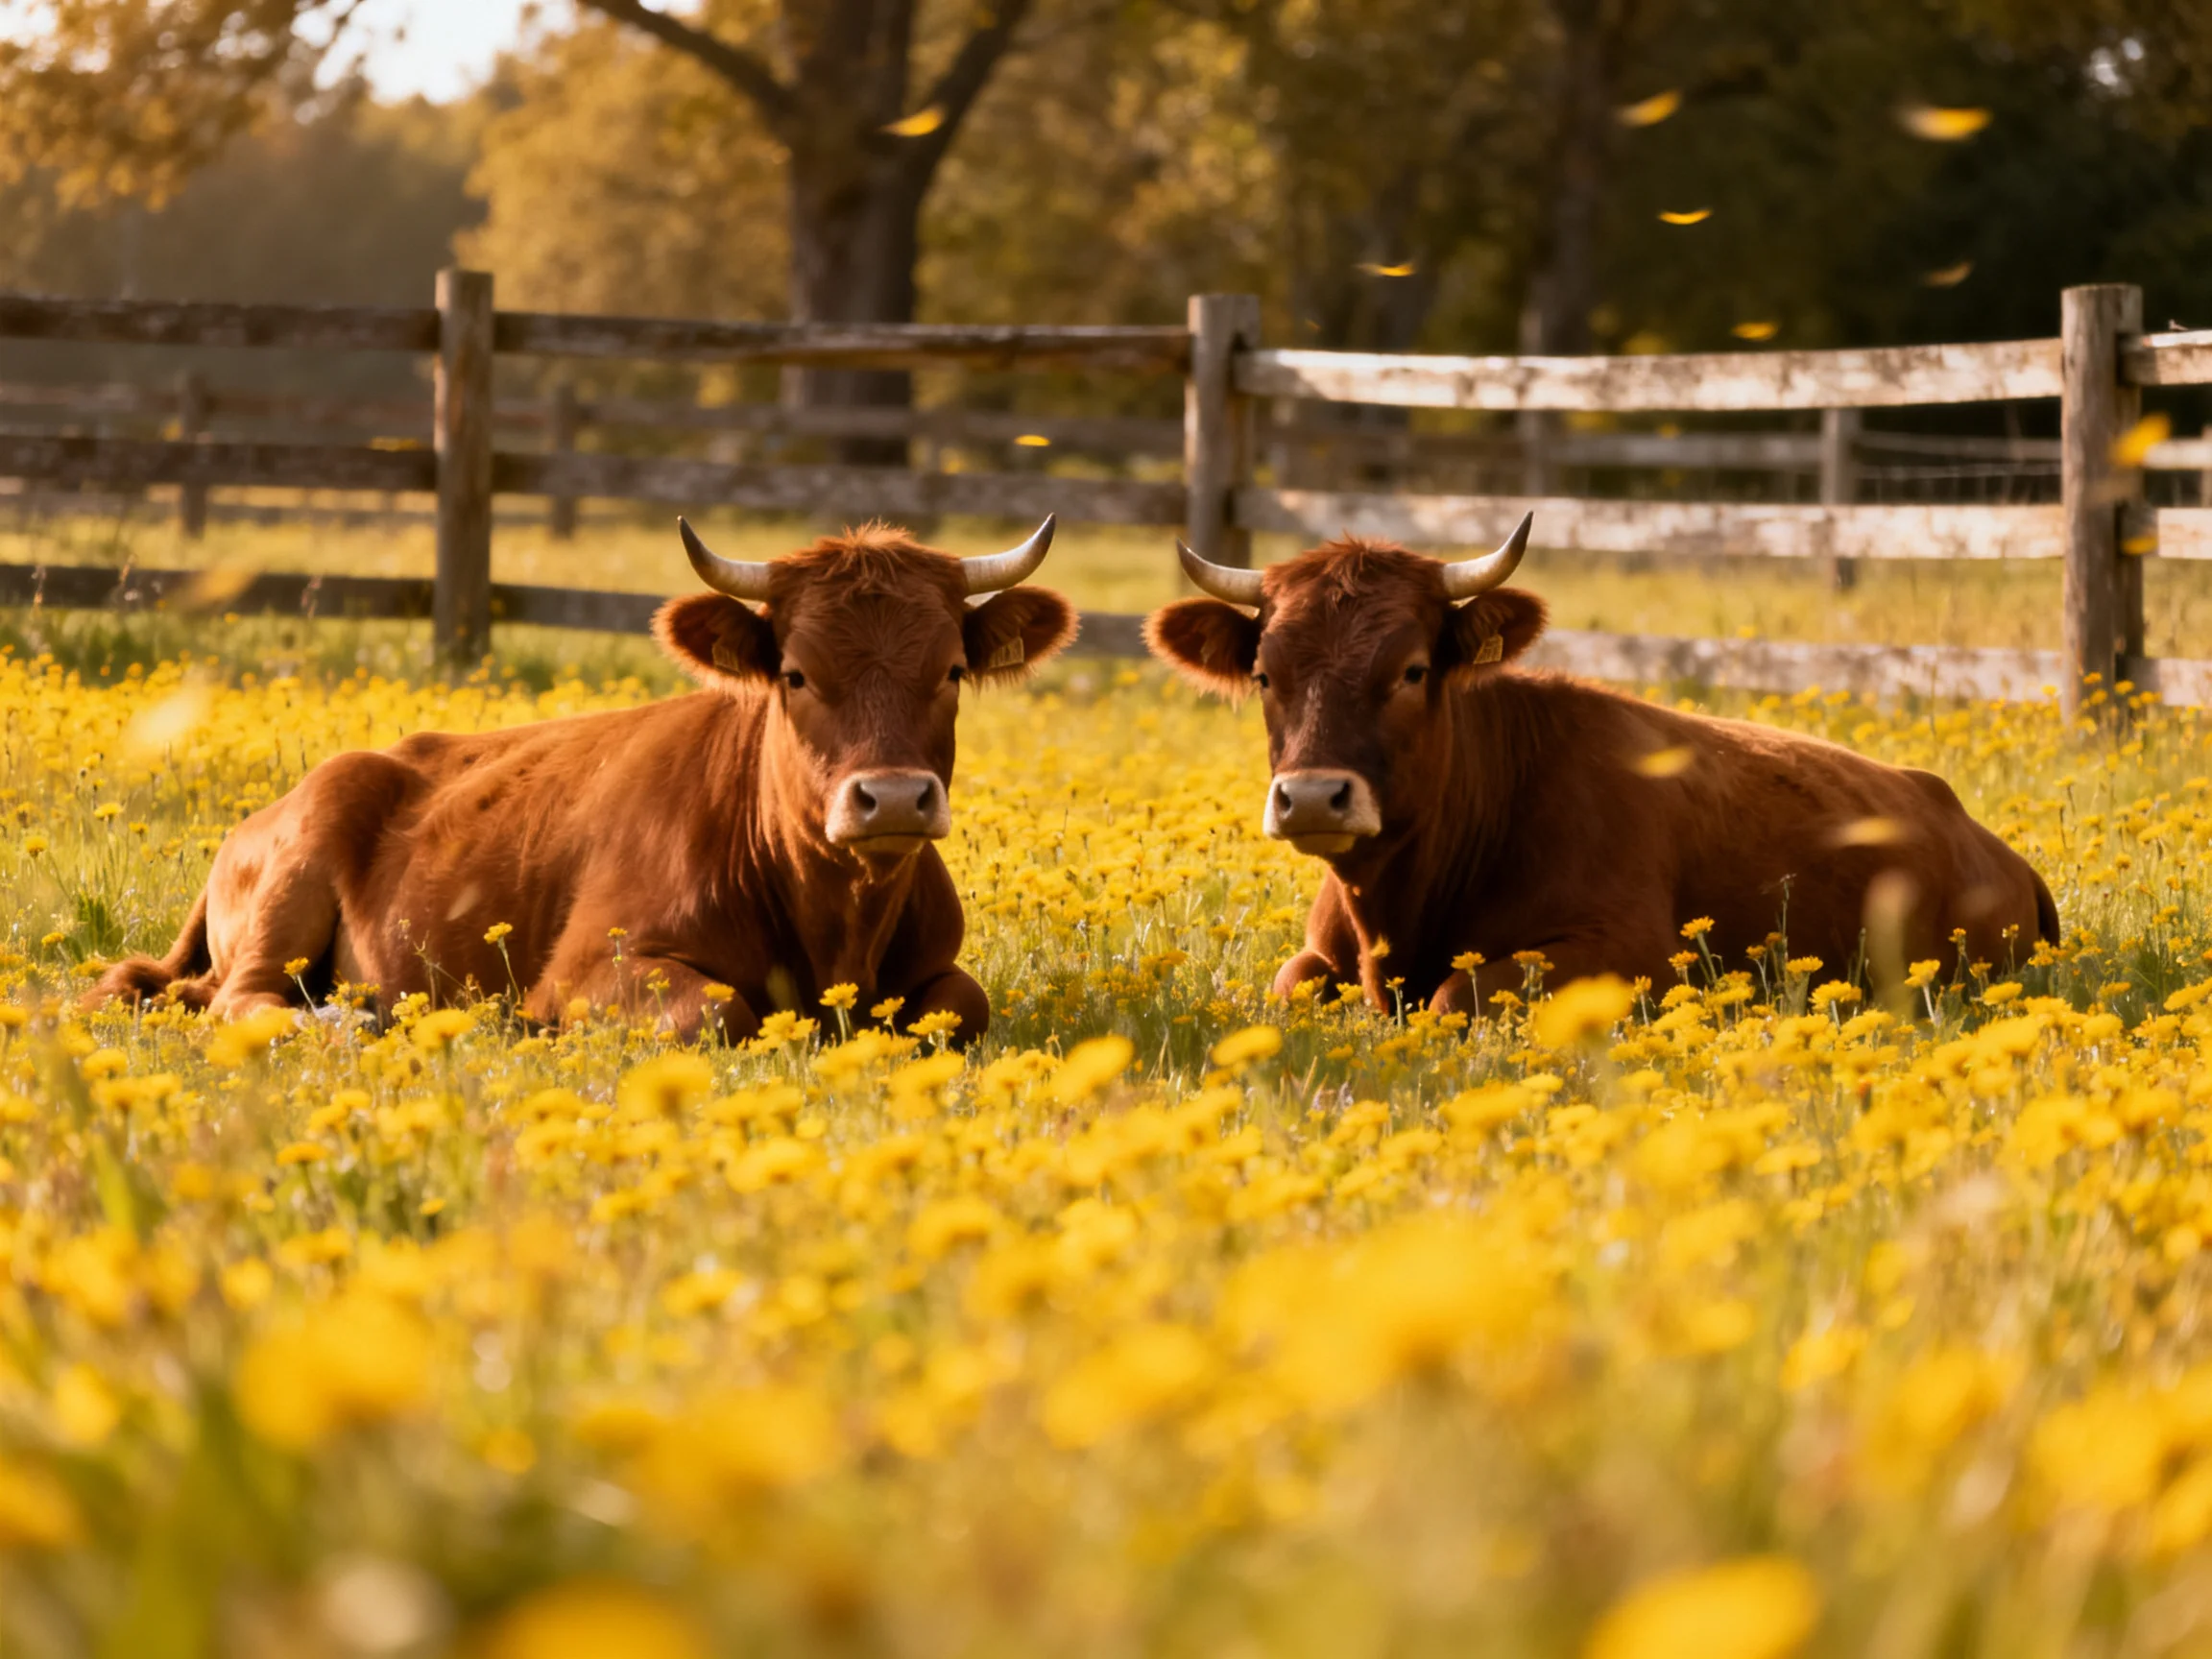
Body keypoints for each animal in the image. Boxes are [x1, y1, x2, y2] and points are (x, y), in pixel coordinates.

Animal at [86, 518, 1078, 1043]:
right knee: (241, 1001)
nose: (894, 798)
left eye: (952, 670)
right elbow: (719, 1011)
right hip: (294, 886)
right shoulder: (584, 971)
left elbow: (962, 1004)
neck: (836, 923)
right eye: (796, 674)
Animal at [1146, 517, 2058, 1015]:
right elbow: (1291, 984)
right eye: (1266, 675)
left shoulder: (1628, 949)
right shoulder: (1317, 957)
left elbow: (1457, 993)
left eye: (1411, 670)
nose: (1311, 799)